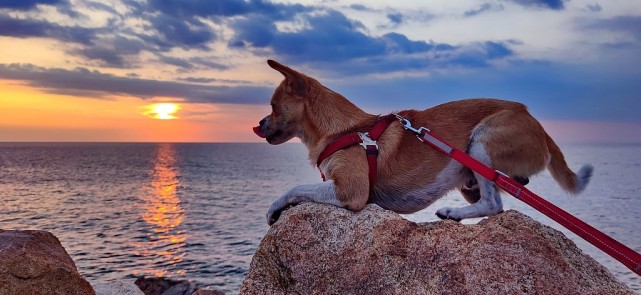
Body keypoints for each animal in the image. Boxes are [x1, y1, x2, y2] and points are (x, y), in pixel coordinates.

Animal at [252, 60, 592, 227]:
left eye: (273, 106)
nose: (259, 124)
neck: (345, 129)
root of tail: (537, 124)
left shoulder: (351, 191)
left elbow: (295, 188)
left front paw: (272, 209)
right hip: (470, 175)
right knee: (495, 198)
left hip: (481, 142)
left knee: (493, 204)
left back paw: (452, 213)